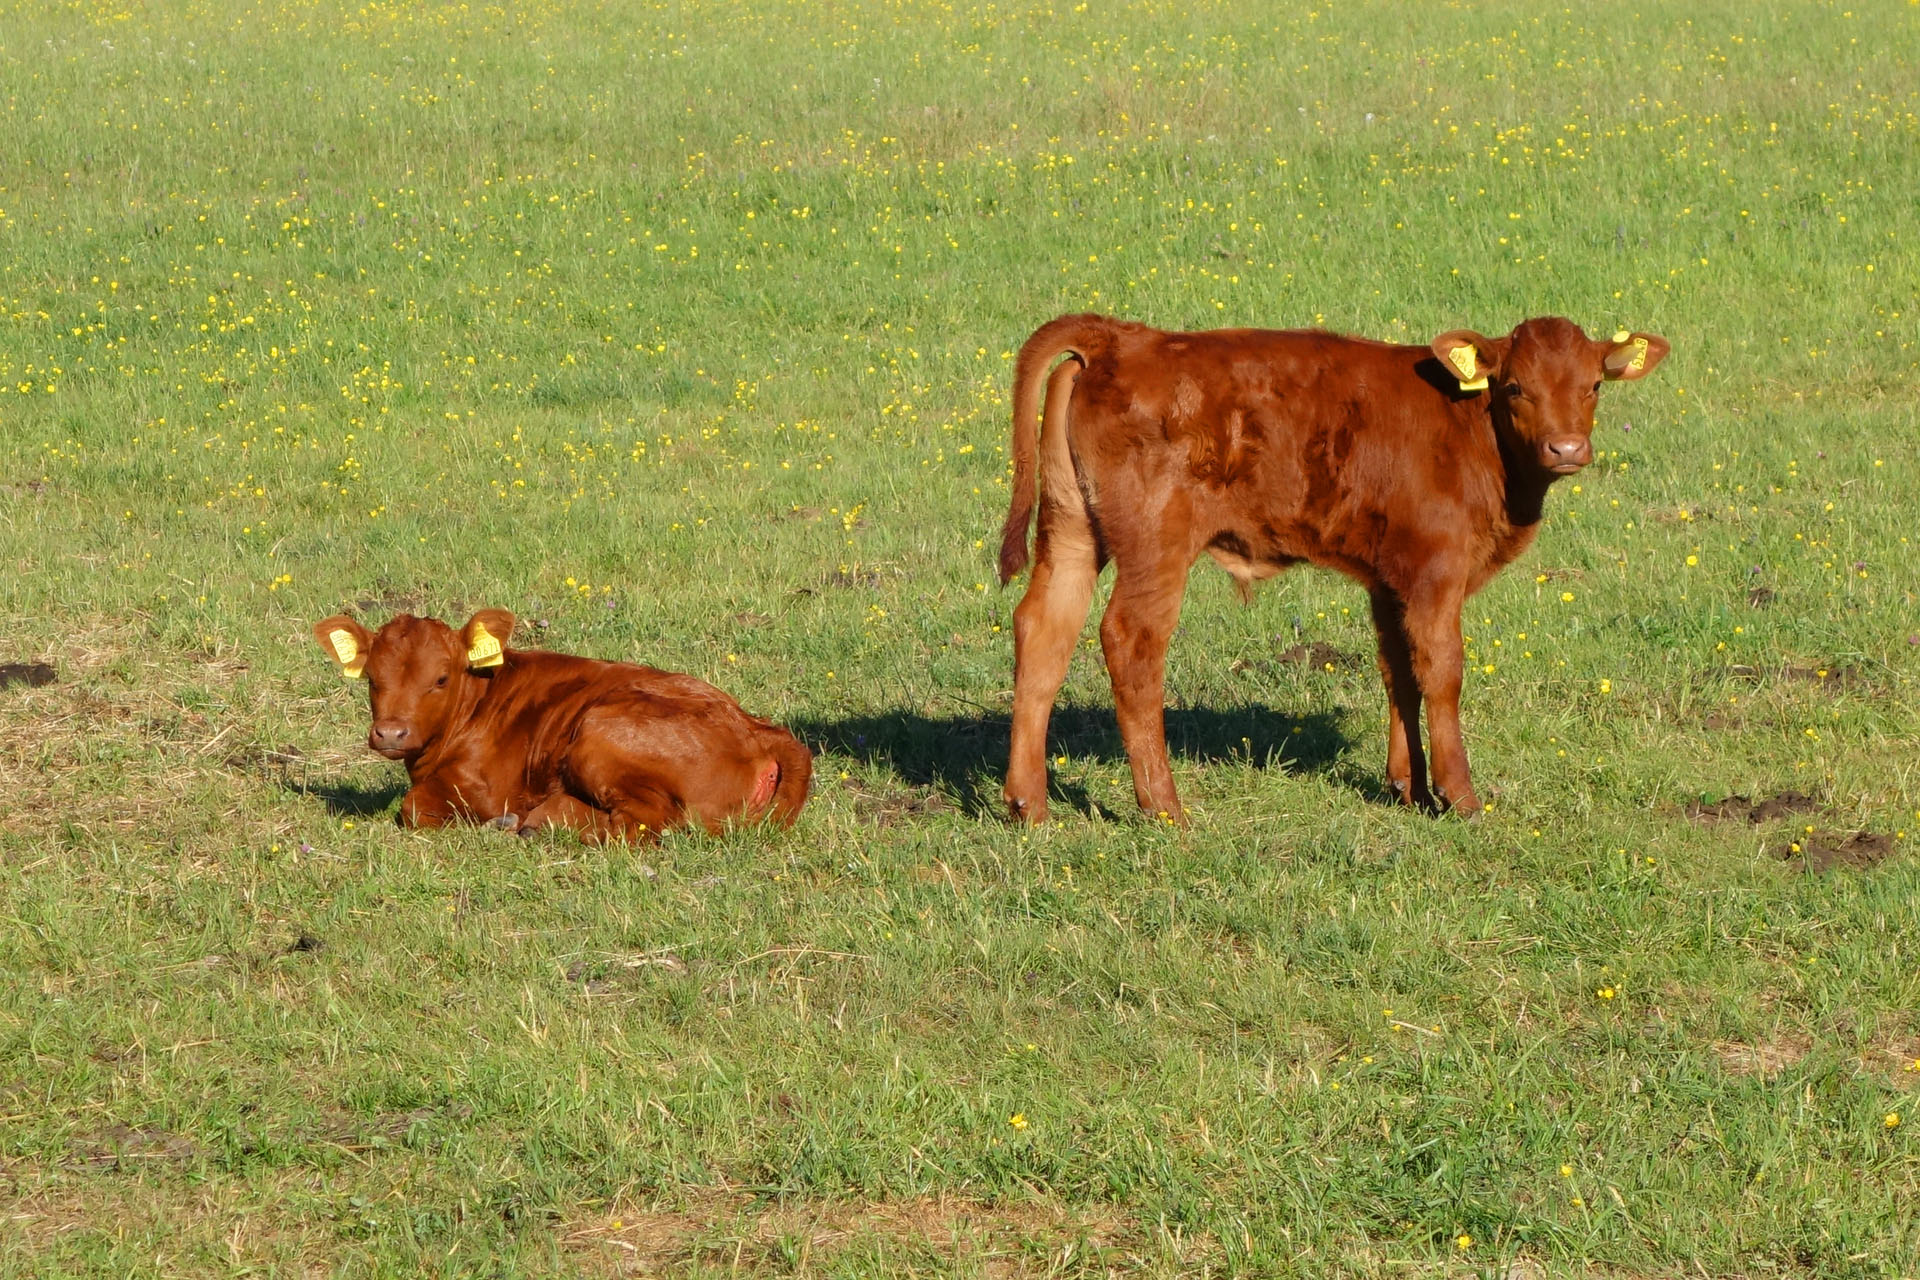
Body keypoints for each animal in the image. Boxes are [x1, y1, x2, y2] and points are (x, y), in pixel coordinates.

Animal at [314, 610, 810, 840]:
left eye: (440, 678)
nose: (391, 733)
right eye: (372, 679)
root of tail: (757, 726)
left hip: (600, 732)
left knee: (641, 826)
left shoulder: (486, 791)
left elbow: (412, 807)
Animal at [998, 314, 1674, 825]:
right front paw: (1459, 796)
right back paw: (1165, 809)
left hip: (1071, 530)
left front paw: (1409, 788)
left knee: (1043, 630)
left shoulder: (1390, 578)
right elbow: (1442, 673)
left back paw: (1030, 806)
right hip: (1154, 546)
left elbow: (1400, 672)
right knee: (1132, 643)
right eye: (1513, 387)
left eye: (1594, 385)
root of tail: (1126, 336)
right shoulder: (1434, 573)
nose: (1568, 449)